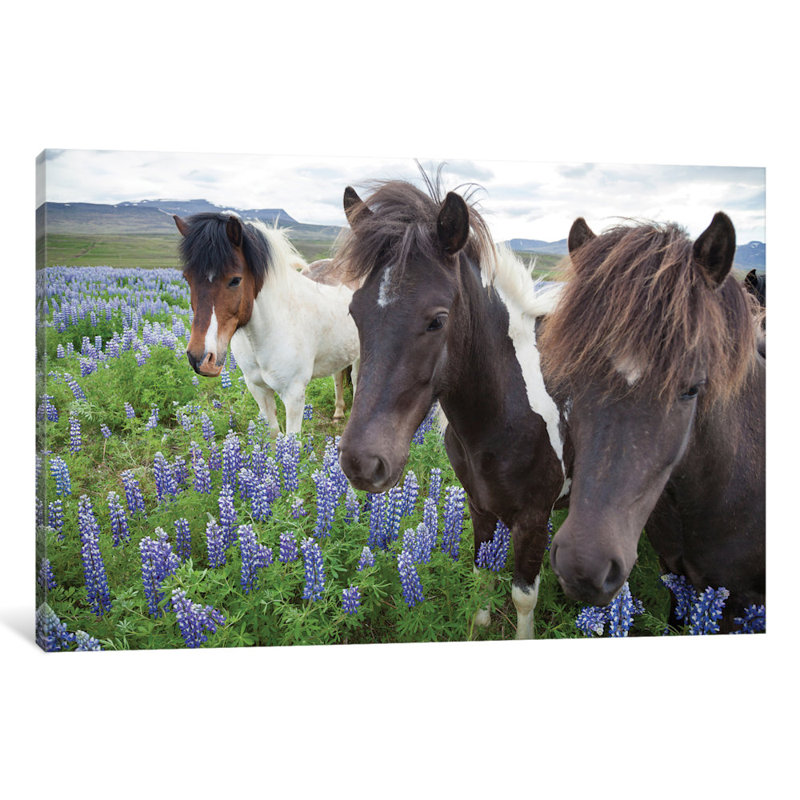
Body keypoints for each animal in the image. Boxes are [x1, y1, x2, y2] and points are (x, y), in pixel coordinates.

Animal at [173, 212, 360, 434]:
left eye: (235, 280)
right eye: (187, 278)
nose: (200, 358)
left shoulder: (294, 395)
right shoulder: (258, 389)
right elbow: (272, 434)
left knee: (356, 379)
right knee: (339, 376)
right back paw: (338, 412)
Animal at [336, 175, 569, 639]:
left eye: (437, 320)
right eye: (354, 312)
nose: (361, 463)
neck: (501, 418)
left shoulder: (534, 517)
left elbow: (523, 596)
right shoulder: (479, 503)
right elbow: (481, 575)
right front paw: (477, 624)